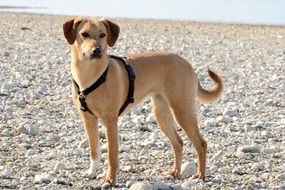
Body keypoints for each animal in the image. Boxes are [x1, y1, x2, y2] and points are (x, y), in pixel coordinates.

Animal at [62, 16, 222, 186]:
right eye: (84, 34)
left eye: (102, 35)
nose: (97, 51)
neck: (90, 75)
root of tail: (187, 63)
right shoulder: (88, 120)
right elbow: (94, 150)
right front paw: (92, 172)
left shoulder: (110, 121)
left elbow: (112, 155)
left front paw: (110, 179)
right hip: (161, 114)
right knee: (178, 143)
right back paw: (175, 172)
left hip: (182, 111)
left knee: (201, 144)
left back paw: (200, 175)